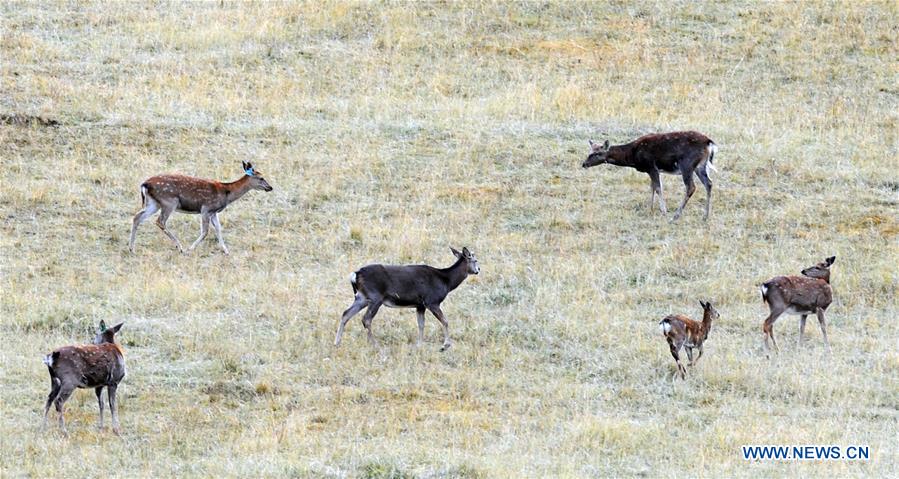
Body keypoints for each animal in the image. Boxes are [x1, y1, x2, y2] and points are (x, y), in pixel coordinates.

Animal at [128, 161, 273, 255]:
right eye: (261, 178)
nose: (270, 187)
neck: (227, 193)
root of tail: (145, 184)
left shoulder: (214, 212)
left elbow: (218, 229)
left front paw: (226, 251)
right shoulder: (206, 208)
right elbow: (205, 231)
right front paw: (190, 249)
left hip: (153, 203)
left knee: (137, 217)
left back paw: (131, 249)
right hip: (169, 202)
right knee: (160, 221)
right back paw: (180, 247)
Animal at [334, 247, 480, 351]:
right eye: (475, 260)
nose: (478, 269)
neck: (446, 282)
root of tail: (355, 275)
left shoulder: (420, 305)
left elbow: (421, 324)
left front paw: (419, 344)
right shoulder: (432, 301)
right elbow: (445, 321)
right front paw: (445, 345)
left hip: (362, 298)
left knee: (346, 313)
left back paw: (337, 342)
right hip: (375, 297)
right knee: (366, 319)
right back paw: (375, 345)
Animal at [581, 131, 718, 221]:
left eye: (597, 153)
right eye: (589, 152)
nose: (584, 164)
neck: (632, 155)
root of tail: (709, 142)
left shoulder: (652, 167)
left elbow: (657, 188)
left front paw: (663, 211)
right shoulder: (650, 170)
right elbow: (652, 187)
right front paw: (650, 209)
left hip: (687, 165)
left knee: (691, 187)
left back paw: (676, 215)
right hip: (700, 166)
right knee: (709, 183)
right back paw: (706, 216)